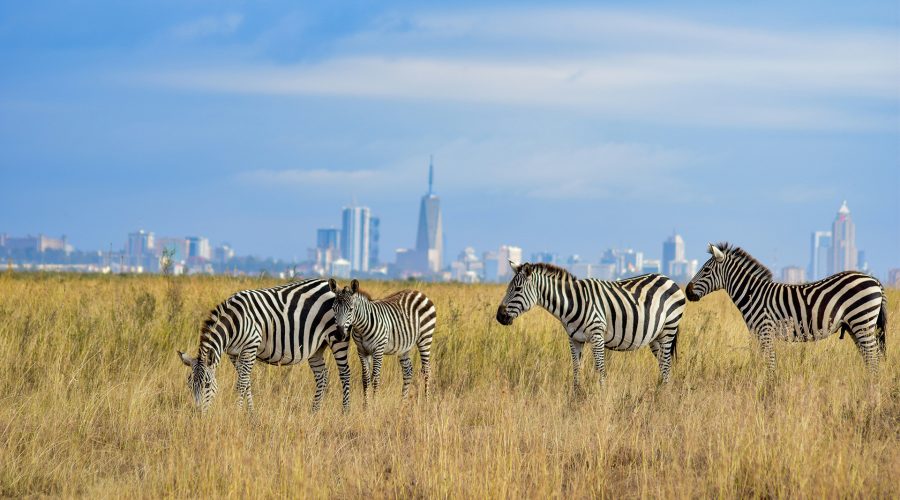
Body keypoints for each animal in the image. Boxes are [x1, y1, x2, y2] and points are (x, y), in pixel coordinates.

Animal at [177, 278, 351, 414]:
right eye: (189, 385)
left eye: (207, 385)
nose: (198, 413)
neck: (233, 322)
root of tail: (328, 285)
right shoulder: (233, 353)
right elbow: (246, 383)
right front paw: (251, 414)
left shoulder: (250, 346)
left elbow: (241, 383)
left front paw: (237, 412)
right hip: (316, 347)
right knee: (322, 375)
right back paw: (314, 411)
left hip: (337, 338)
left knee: (345, 373)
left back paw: (345, 412)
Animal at [495, 261, 687, 391]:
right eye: (508, 288)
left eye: (518, 289)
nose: (499, 316)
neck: (572, 303)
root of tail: (668, 279)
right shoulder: (574, 339)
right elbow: (576, 368)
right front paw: (576, 396)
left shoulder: (597, 335)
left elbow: (600, 369)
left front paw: (602, 395)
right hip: (655, 336)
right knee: (662, 364)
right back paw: (661, 390)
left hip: (669, 328)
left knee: (666, 363)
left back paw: (663, 394)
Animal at [685, 242, 887, 374]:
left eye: (706, 270)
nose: (687, 291)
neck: (752, 294)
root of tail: (874, 280)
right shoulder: (759, 334)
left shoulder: (765, 331)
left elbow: (770, 364)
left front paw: (769, 390)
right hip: (855, 326)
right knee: (870, 357)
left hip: (862, 321)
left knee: (873, 357)